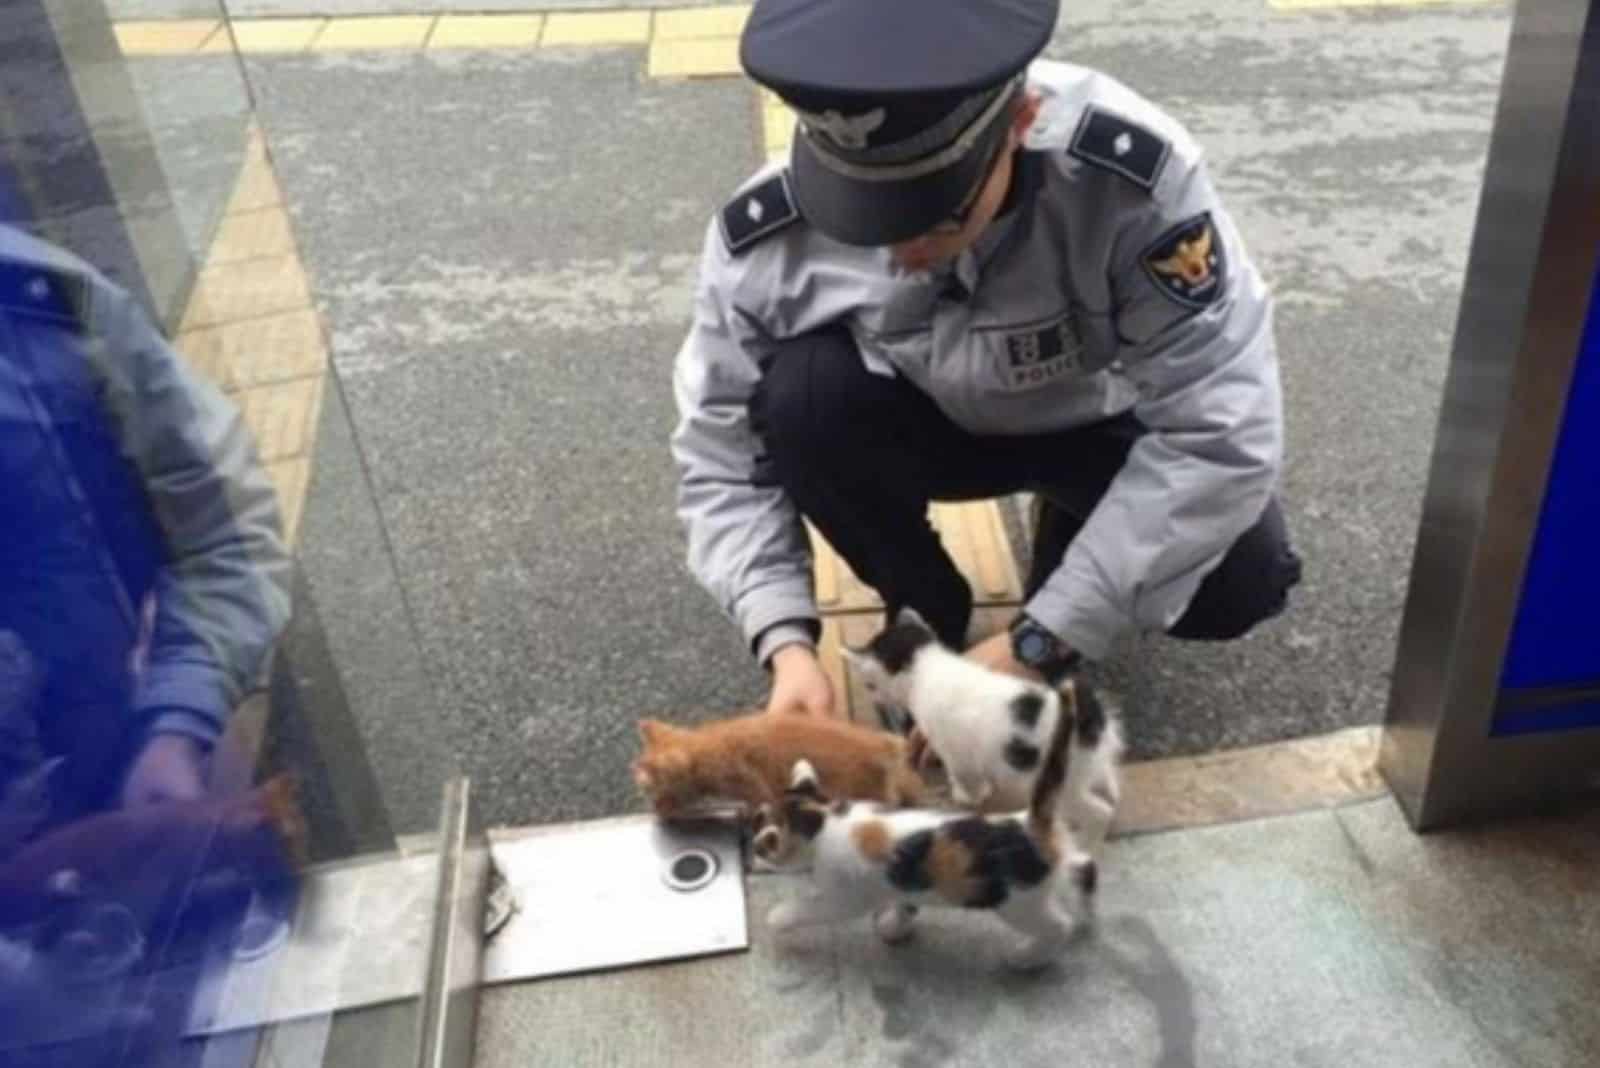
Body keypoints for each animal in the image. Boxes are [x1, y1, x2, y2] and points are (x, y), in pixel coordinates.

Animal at [627, 713, 928, 824]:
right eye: (635, 766)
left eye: (643, 774)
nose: (636, 781)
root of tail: (889, 748)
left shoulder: (747, 782)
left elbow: (761, 803)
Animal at [755, 687, 1094, 972]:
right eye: (757, 820)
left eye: (768, 842)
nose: (753, 851)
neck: (827, 820)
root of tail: (1029, 821)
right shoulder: (901, 880)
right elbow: (903, 903)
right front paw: (894, 927)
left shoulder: (844, 896)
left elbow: (807, 909)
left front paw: (777, 918)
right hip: (1051, 873)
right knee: (1085, 866)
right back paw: (1085, 916)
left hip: (1018, 901)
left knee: (1058, 925)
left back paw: (1028, 957)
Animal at [844, 607, 1120, 856]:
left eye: (869, 685)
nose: (876, 699)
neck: (928, 668)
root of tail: (1089, 716)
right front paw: (983, 789)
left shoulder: (956, 753)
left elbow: (964, 778)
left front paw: (968, 797)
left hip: (1063, 785)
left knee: (1102, 813)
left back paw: (1085, 845)